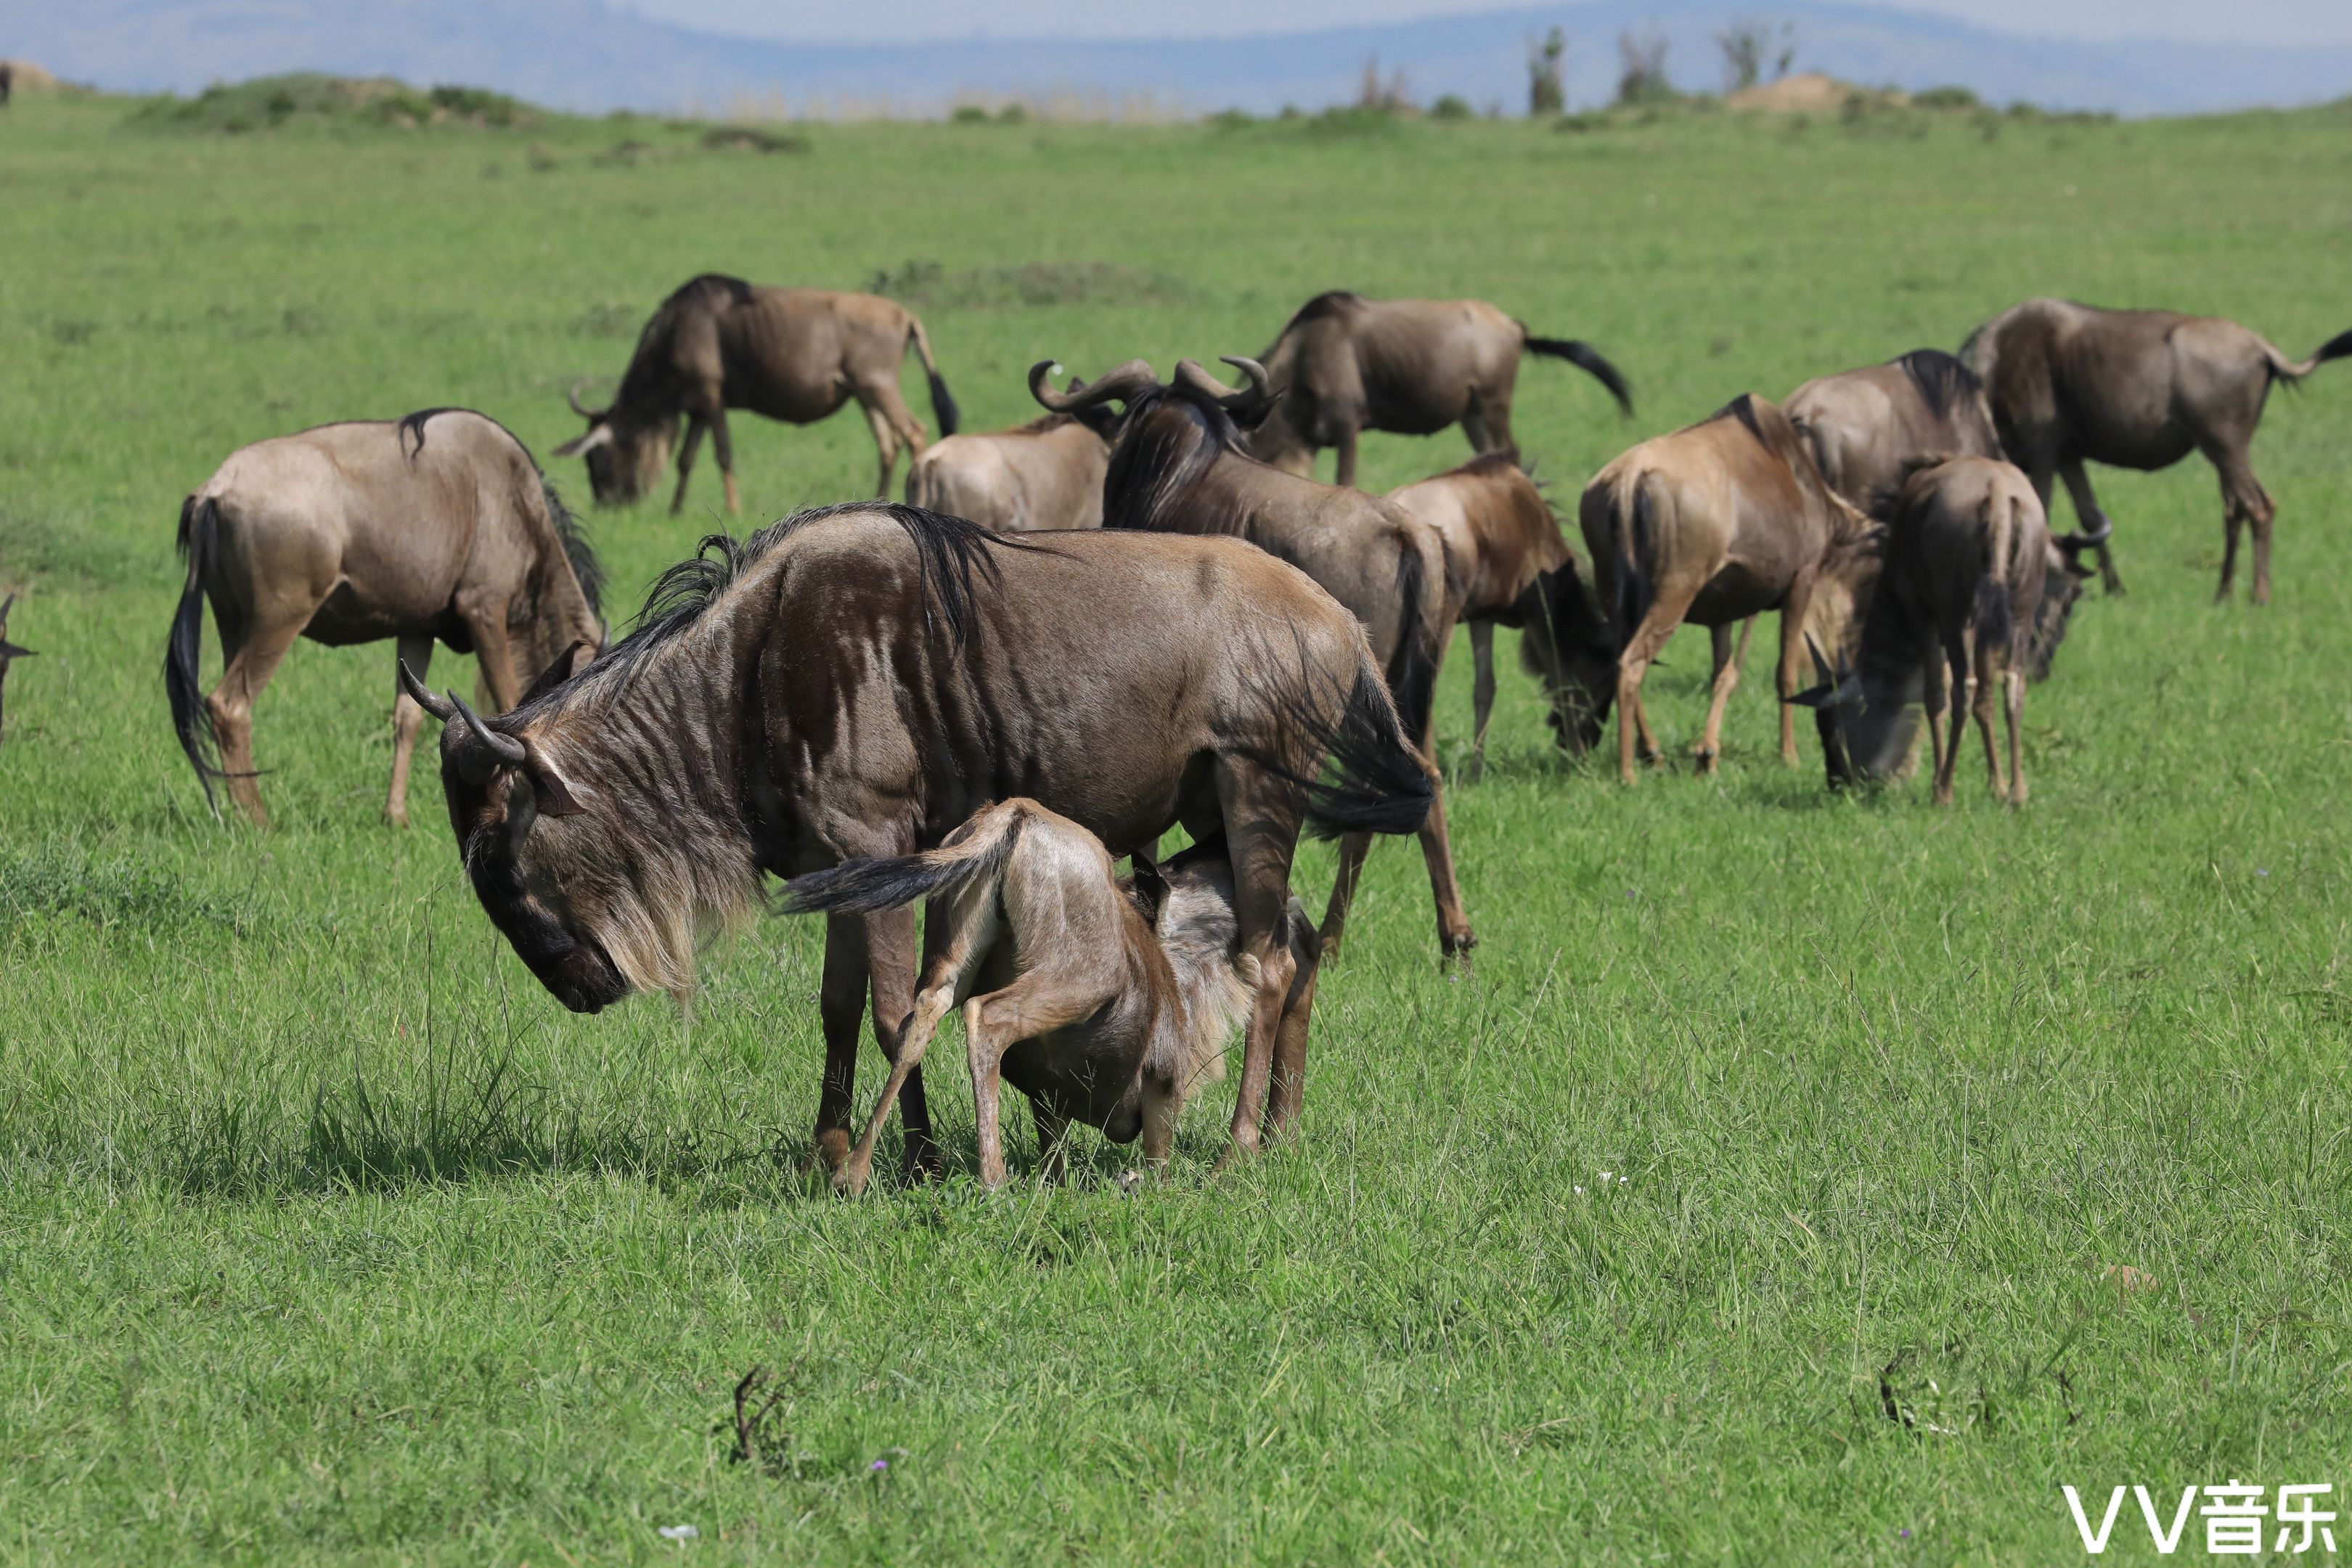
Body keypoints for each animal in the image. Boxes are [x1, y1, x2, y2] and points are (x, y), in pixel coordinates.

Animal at [780, 804, 1317, 1194]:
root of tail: (1011, 817)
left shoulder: (1047, 1096)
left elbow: (1054, 1153)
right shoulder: (1162, 1082)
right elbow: (1157, 1164)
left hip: (953, 957)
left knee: (918, 1019)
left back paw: (851, 1175)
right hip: (1077, 981)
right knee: (985, 1019)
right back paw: (994, 1185)